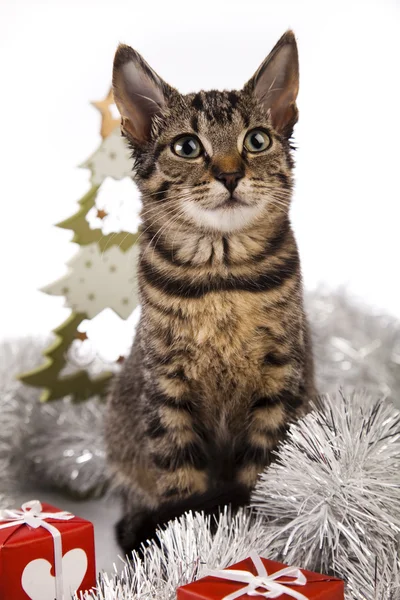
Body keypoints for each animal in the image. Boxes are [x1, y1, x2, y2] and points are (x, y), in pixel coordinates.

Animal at [105, 28, 316, 552]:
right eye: (187, 146)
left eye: (256, 140)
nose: (229, 174)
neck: (221, 276)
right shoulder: (165, 384)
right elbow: (179, 475)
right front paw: (191, 538)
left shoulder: (281, 377)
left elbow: (262, 471)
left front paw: (248, 531)